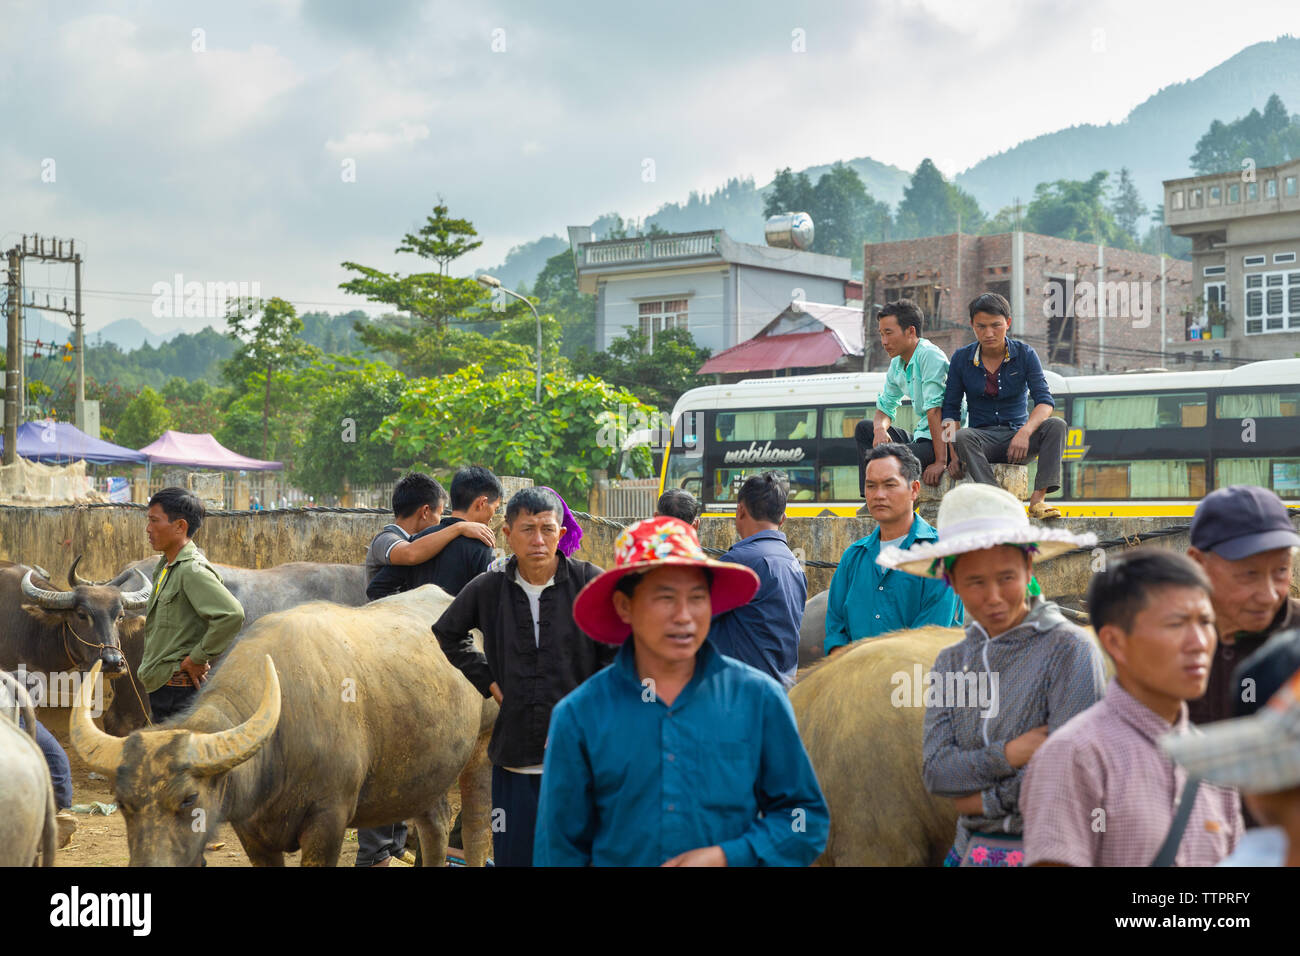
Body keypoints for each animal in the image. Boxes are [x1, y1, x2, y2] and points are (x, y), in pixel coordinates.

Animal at [71, 582, 496, 868]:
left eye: (189, 798)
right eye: (123, 803)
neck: (281, 739)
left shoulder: (329, 821)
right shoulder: (253, 832)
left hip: (483, 748)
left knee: (476, 828)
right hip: (426, 770)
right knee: (435, 823)